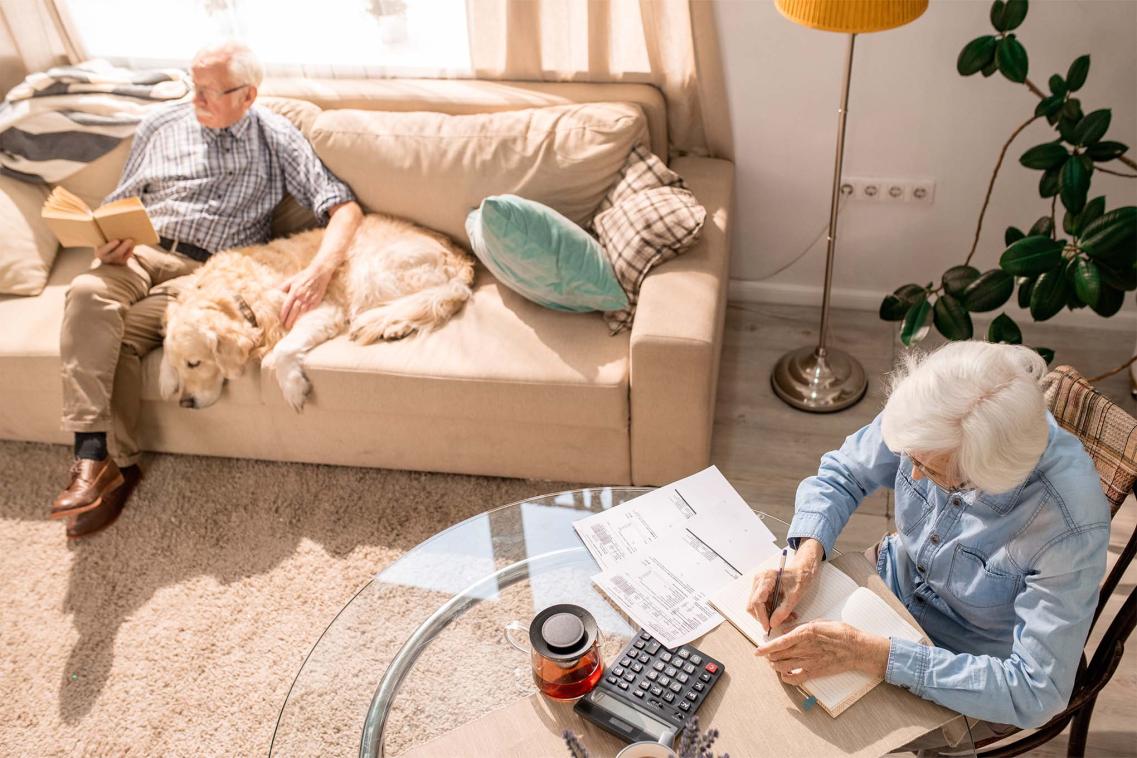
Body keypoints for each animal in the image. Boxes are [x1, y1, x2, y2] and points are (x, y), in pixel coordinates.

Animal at [162, 213, 472, 411]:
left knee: (439, 296)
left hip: (369, 270)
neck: (234, 295)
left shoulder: (319, 306)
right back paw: (395, 325)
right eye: (182, 365)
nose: (184, 403)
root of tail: (461, 260)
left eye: (195, 363)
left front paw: (293, 388)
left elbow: (284, 349)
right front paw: (166, 378)